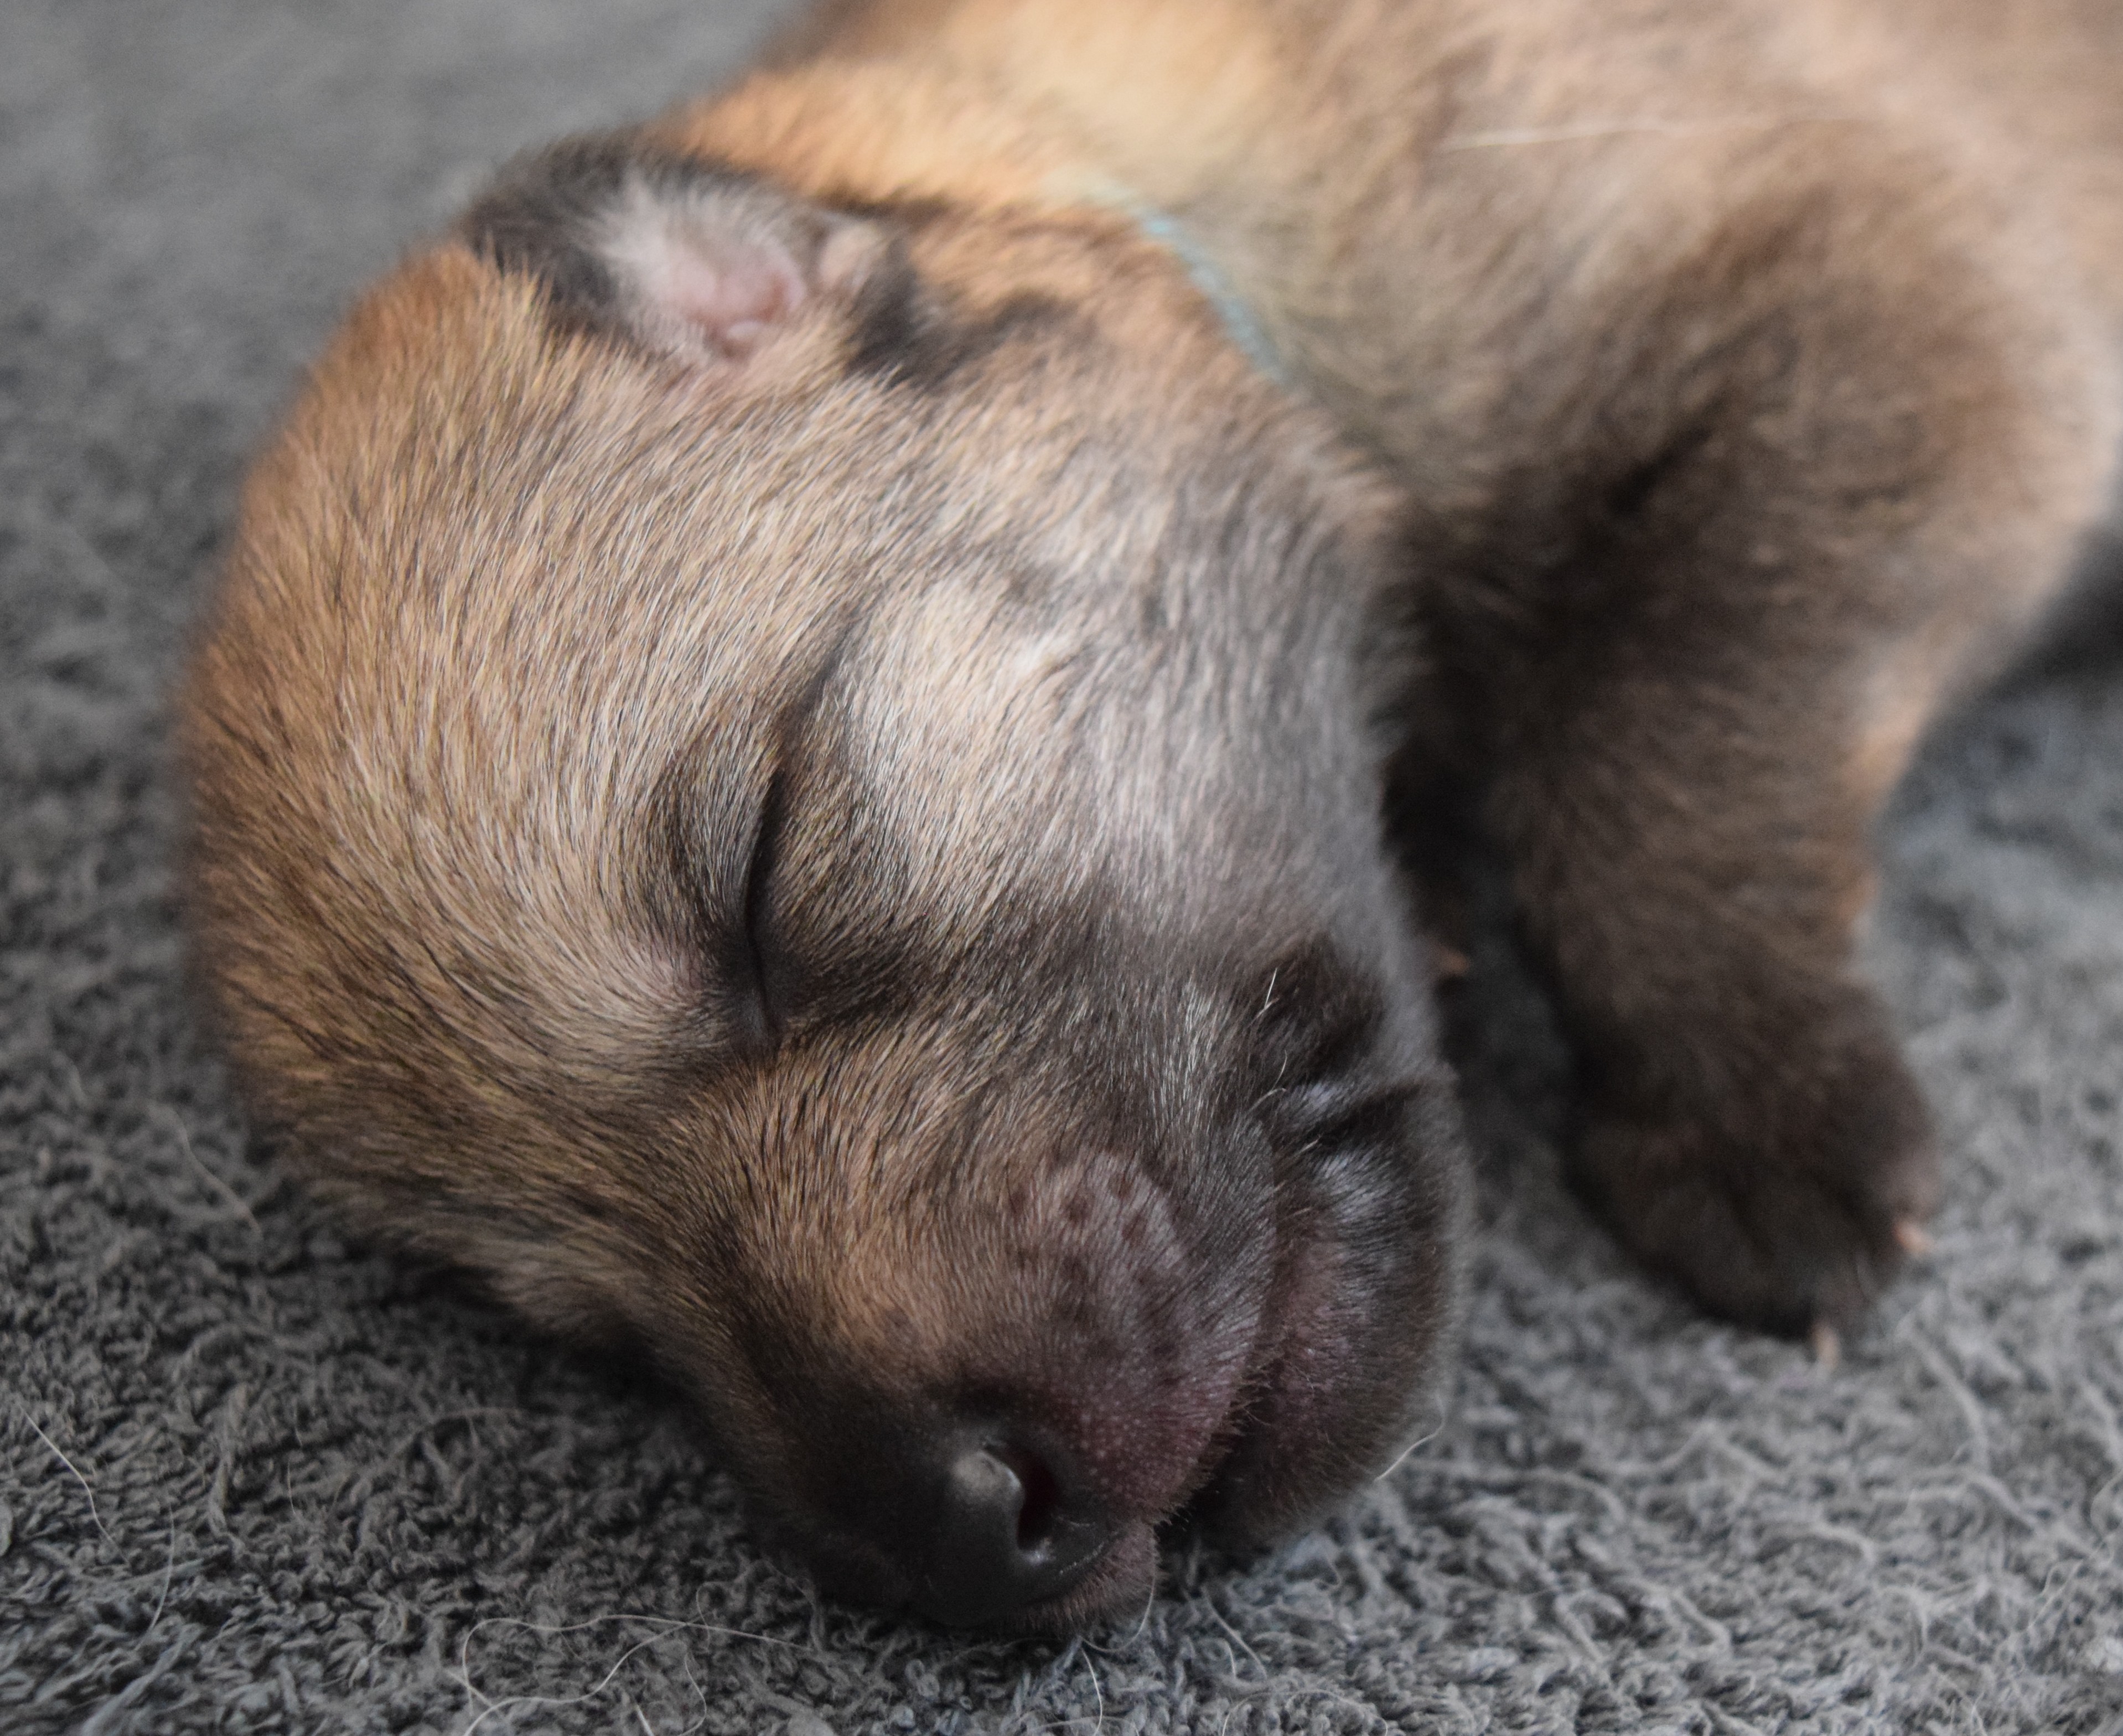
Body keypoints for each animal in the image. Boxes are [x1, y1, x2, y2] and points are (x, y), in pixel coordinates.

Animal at [177, 0, 2123, 1630]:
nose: (967, 1519)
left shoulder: (1887, 295)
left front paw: (1750, 1114)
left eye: (764, 872)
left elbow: (1661, 716)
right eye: (592, 1328)